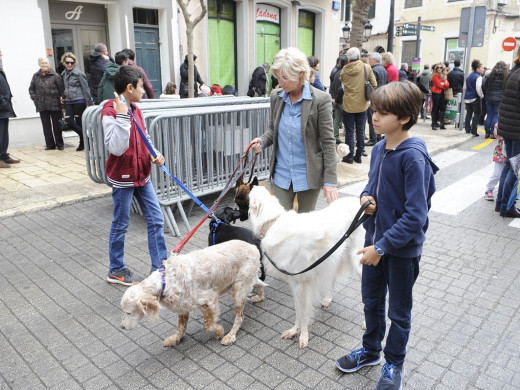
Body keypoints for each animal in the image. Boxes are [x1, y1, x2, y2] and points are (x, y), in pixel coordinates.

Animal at [120, 241, 266, 348]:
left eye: (128, 312)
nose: (122, 327)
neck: (166, 281)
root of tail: (253, 247)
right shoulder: (182, 307)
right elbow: (181, 327)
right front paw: (176, 338)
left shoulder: (209, 299)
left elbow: (208, 325)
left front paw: (219, 331)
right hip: (241, 284)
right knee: (259, 284)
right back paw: (260, 297)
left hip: (238, 290)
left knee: (239, 317)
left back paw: (230, 336)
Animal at [247, 187, 362, 348]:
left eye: (251, 195)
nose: (253, 186)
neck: (272, 223)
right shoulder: (295, 284)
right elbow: (298, 312)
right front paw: (294, 331)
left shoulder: (299, 285)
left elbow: (302, 313)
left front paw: (303, 336)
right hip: (333, 258)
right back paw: (327, 299)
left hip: (359, 260)